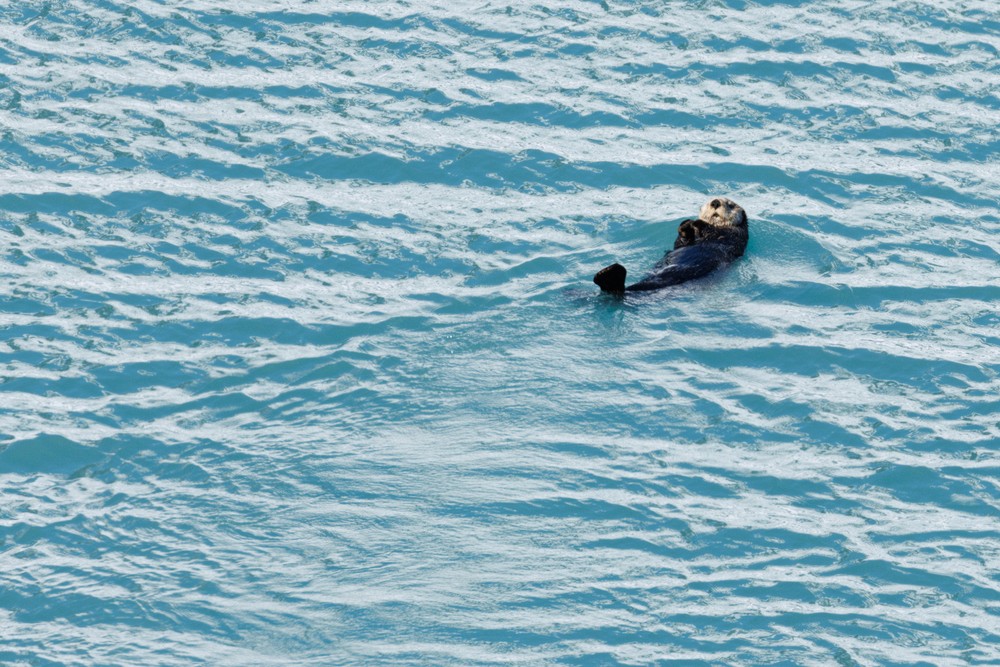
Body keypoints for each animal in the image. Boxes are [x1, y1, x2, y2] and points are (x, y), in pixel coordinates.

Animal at [594, 197, 748, 293]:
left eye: (730, 205)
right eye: (709, 202)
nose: (715, 202)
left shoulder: (734, 235)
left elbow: (715, 232)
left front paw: (697, 222)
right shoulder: (682, 242)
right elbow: (682, 241)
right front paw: (686, 224)